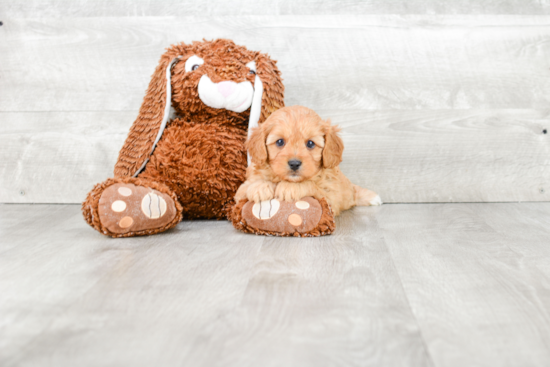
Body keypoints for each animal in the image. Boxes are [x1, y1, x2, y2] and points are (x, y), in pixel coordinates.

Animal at [237, 105, 384, 216]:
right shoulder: (239, 193)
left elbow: (311, 185)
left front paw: (289, 187)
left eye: (310, 144)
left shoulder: (331, 197)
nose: (294, 163)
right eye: (279, 142)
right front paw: (259, 187)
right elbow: (248, 187)